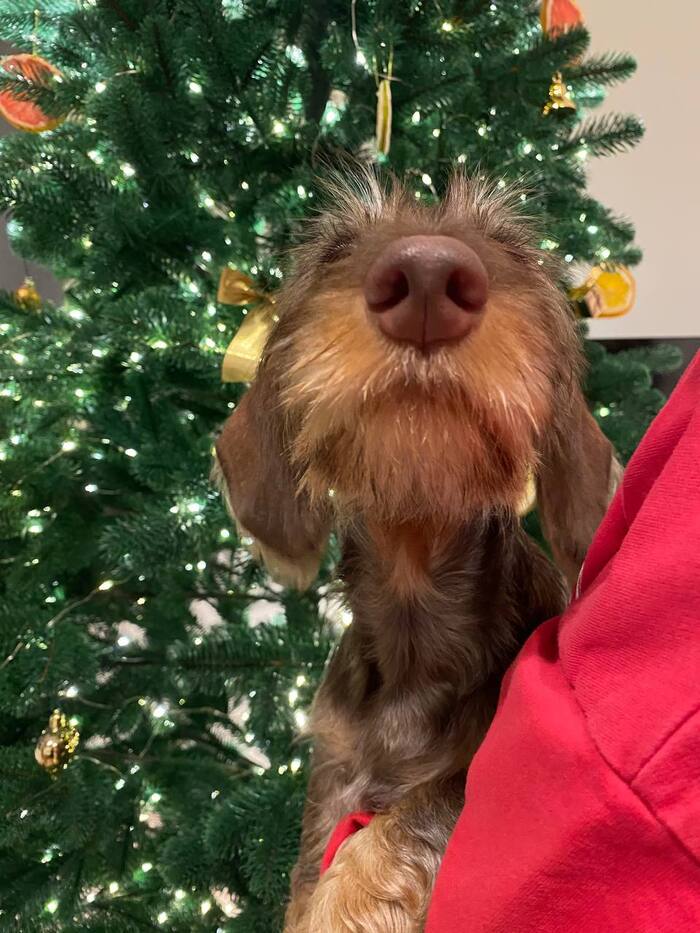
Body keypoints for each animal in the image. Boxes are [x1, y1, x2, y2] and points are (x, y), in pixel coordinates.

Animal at [214, 171, 619, 931]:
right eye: (336, 247)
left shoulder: (476, 769)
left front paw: (346, 899)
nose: (428, 277)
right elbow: (310, 875)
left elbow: (423, 803)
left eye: (509, 247)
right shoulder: (333, 781)